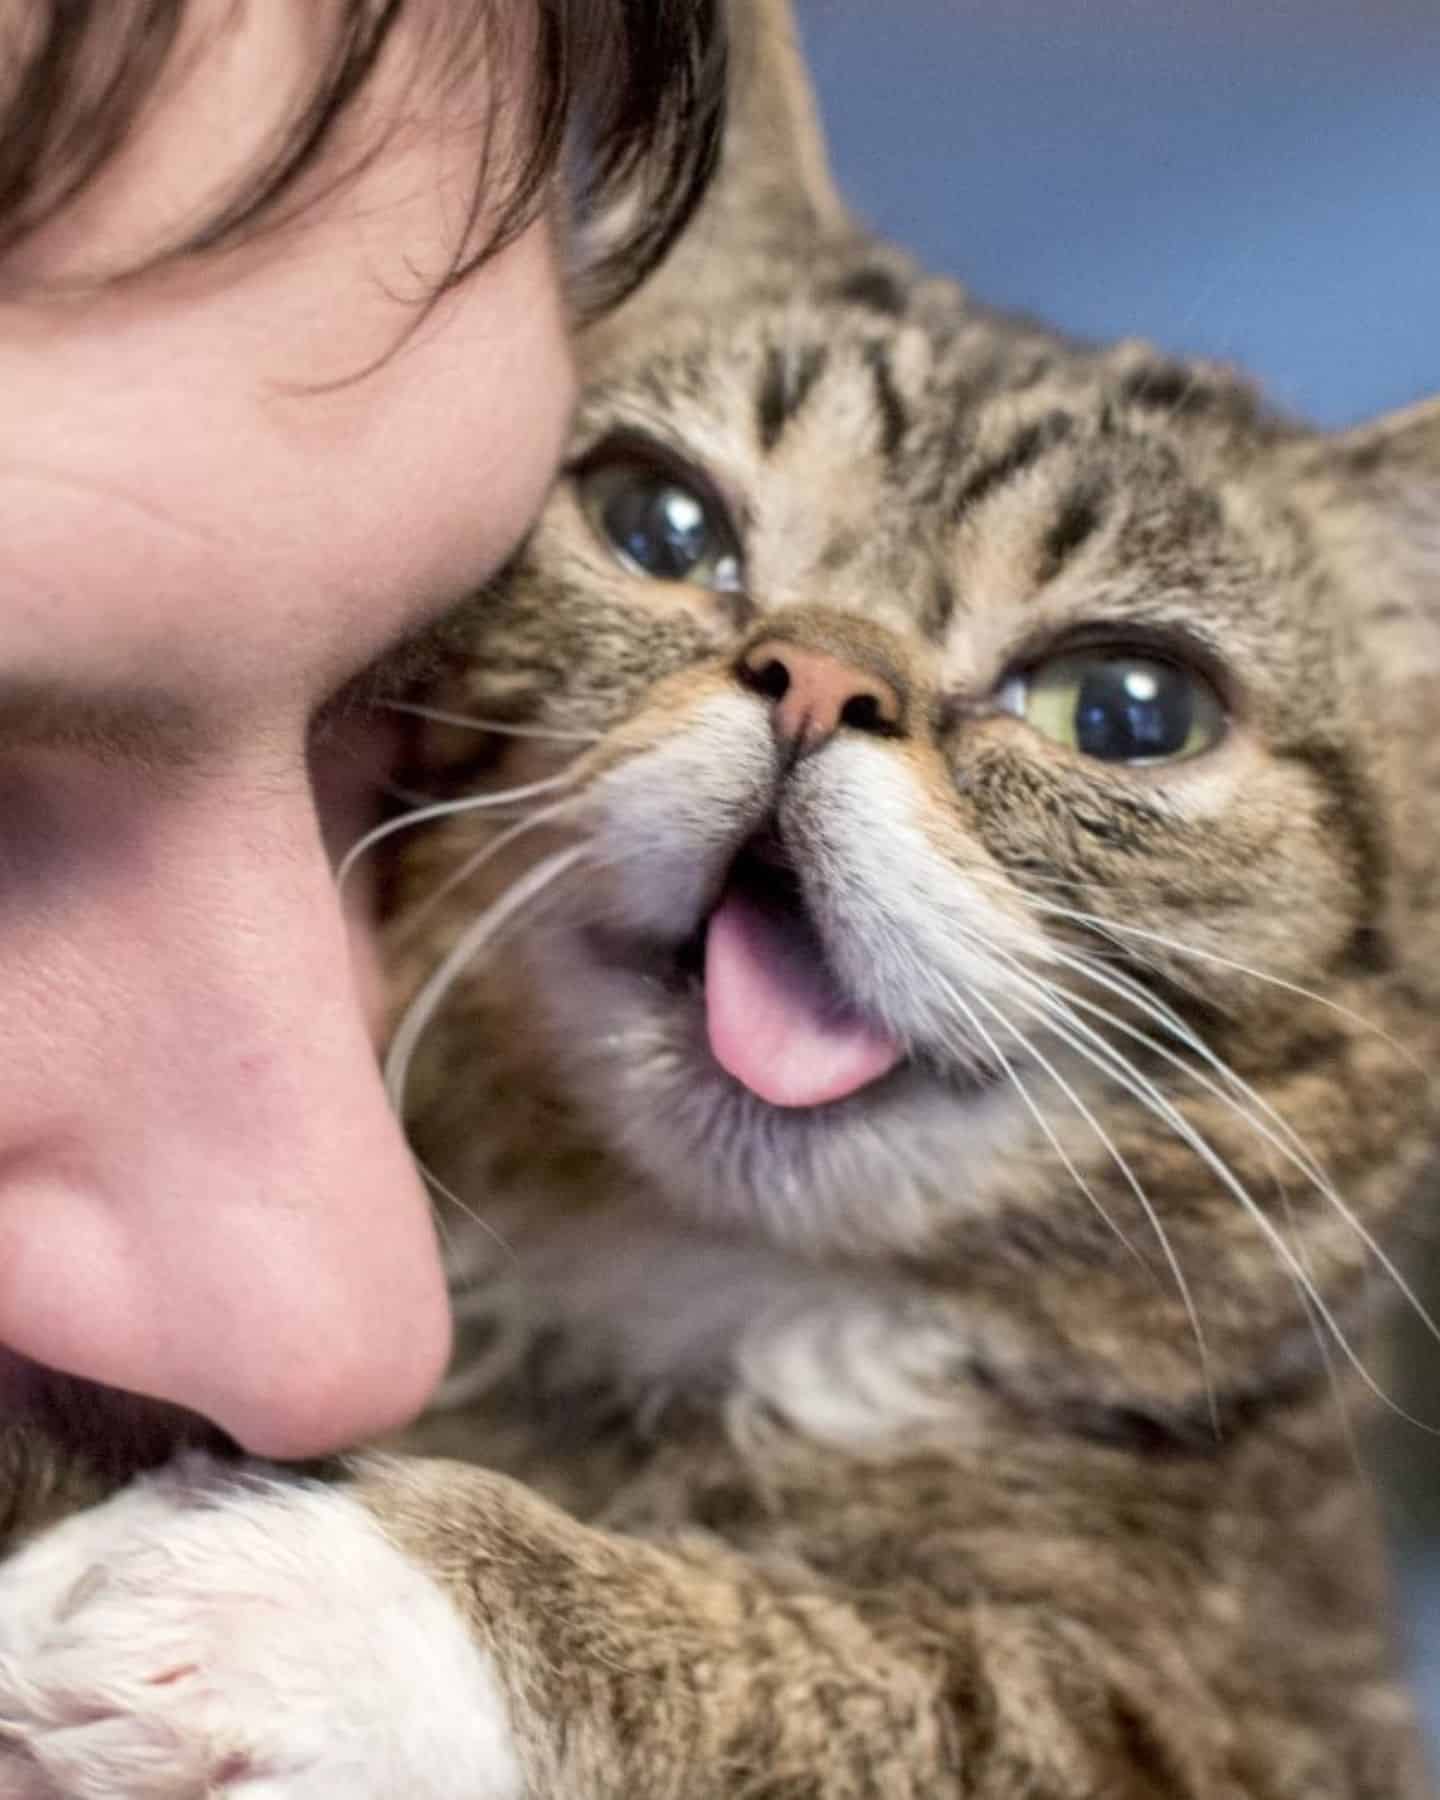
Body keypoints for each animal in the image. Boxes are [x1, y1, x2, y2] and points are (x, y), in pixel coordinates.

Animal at [2, 0, 1440, 1792]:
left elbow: (924, 1685)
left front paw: (321, 1590)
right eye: (660, 522)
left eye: (1126, 709)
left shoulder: (1240, 1719)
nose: (819, 676)